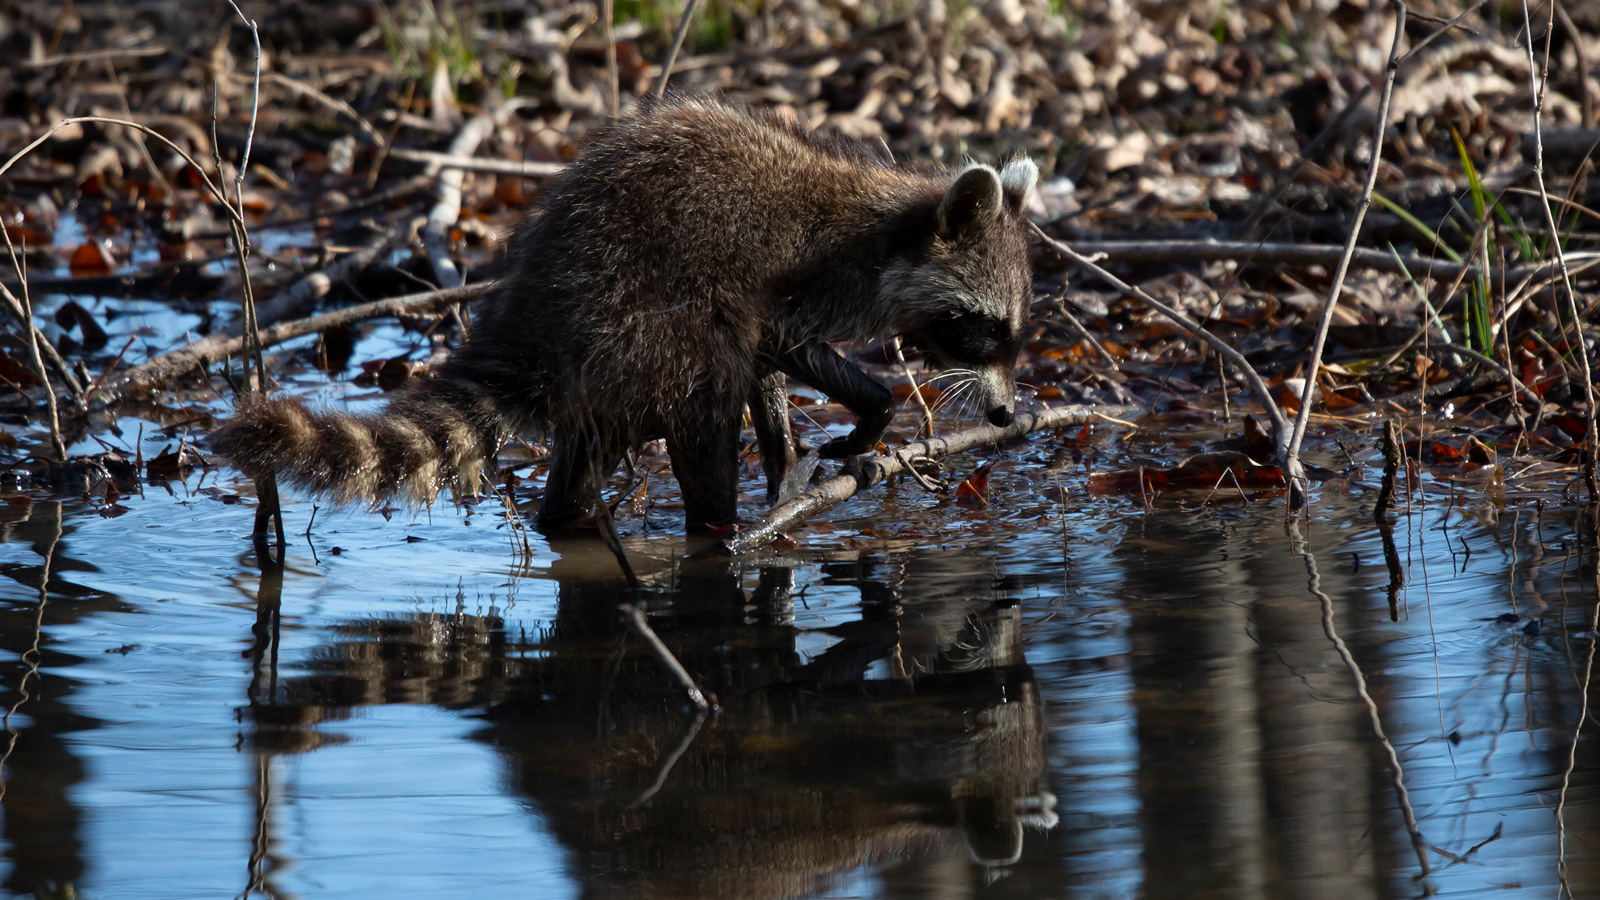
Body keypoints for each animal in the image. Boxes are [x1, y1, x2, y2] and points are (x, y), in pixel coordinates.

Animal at [214, 97, 1038, 533]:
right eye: (987, 328)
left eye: (1014, 332)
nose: (1005, 415)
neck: (884, 230)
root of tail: (531, 319)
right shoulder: (795, 283)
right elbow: (773, 344)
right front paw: (872, 406)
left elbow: (768, 377)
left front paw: (785, 462)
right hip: (642, 325)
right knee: (709, 389)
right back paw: (719, 533)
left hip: (609, 375)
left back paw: (572, 520)